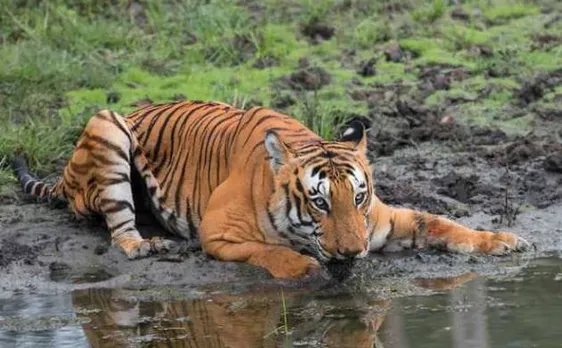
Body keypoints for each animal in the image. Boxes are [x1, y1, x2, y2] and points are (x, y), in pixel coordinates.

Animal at [12, 100, 528, 280]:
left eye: (357, 197)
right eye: (319, 202)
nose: (353, 253)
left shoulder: (380, 222)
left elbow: (442, 222)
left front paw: (503, 241)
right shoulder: (217, 233)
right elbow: (268, 250)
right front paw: (302, 266)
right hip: (108, 127)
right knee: (119, 230)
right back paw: (146, 245)